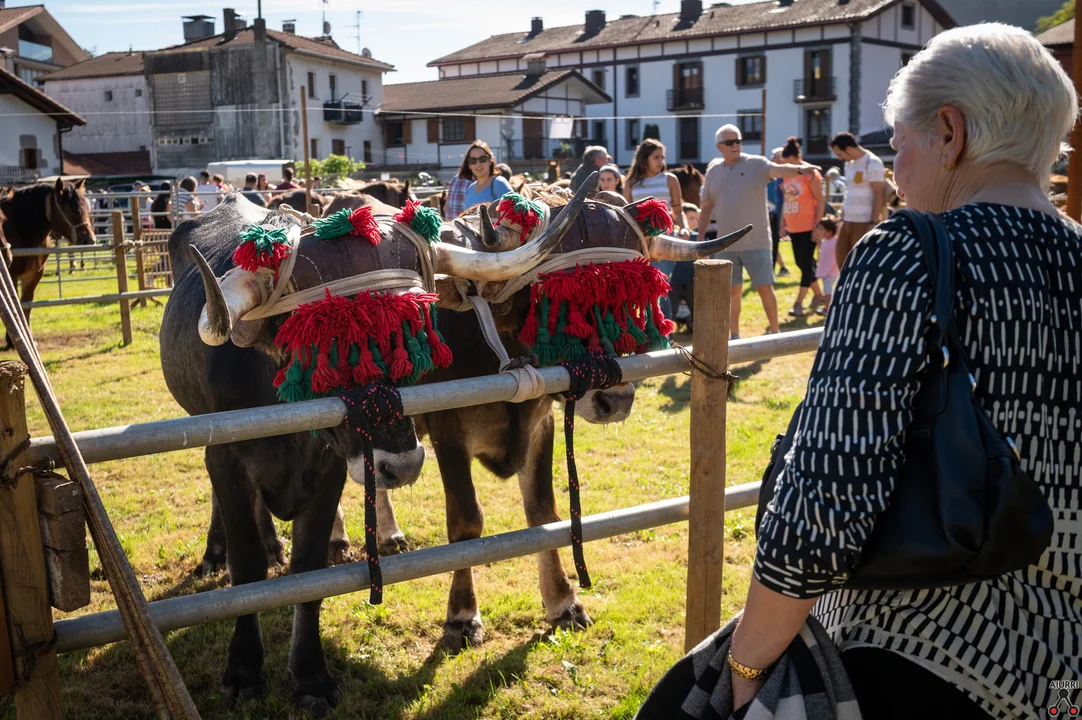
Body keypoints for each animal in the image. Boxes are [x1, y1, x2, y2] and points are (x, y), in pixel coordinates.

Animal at [1, 178, 95, 346]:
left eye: (85, 206)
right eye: (67, 208)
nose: (89, 239)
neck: (20, 226)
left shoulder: (35, 273)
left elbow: (26, 304)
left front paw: (29, 337)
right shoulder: (11, 274)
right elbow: (14, 305)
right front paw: (11, 339)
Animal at [162, 189, 589, 711]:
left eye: (416, 330)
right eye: (322, 341)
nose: (401, 464)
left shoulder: (330, 467)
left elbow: (310, 571)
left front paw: (310, 675)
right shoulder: (227, 455)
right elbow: (246, 569)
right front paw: (243, 670)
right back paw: (220, 550)